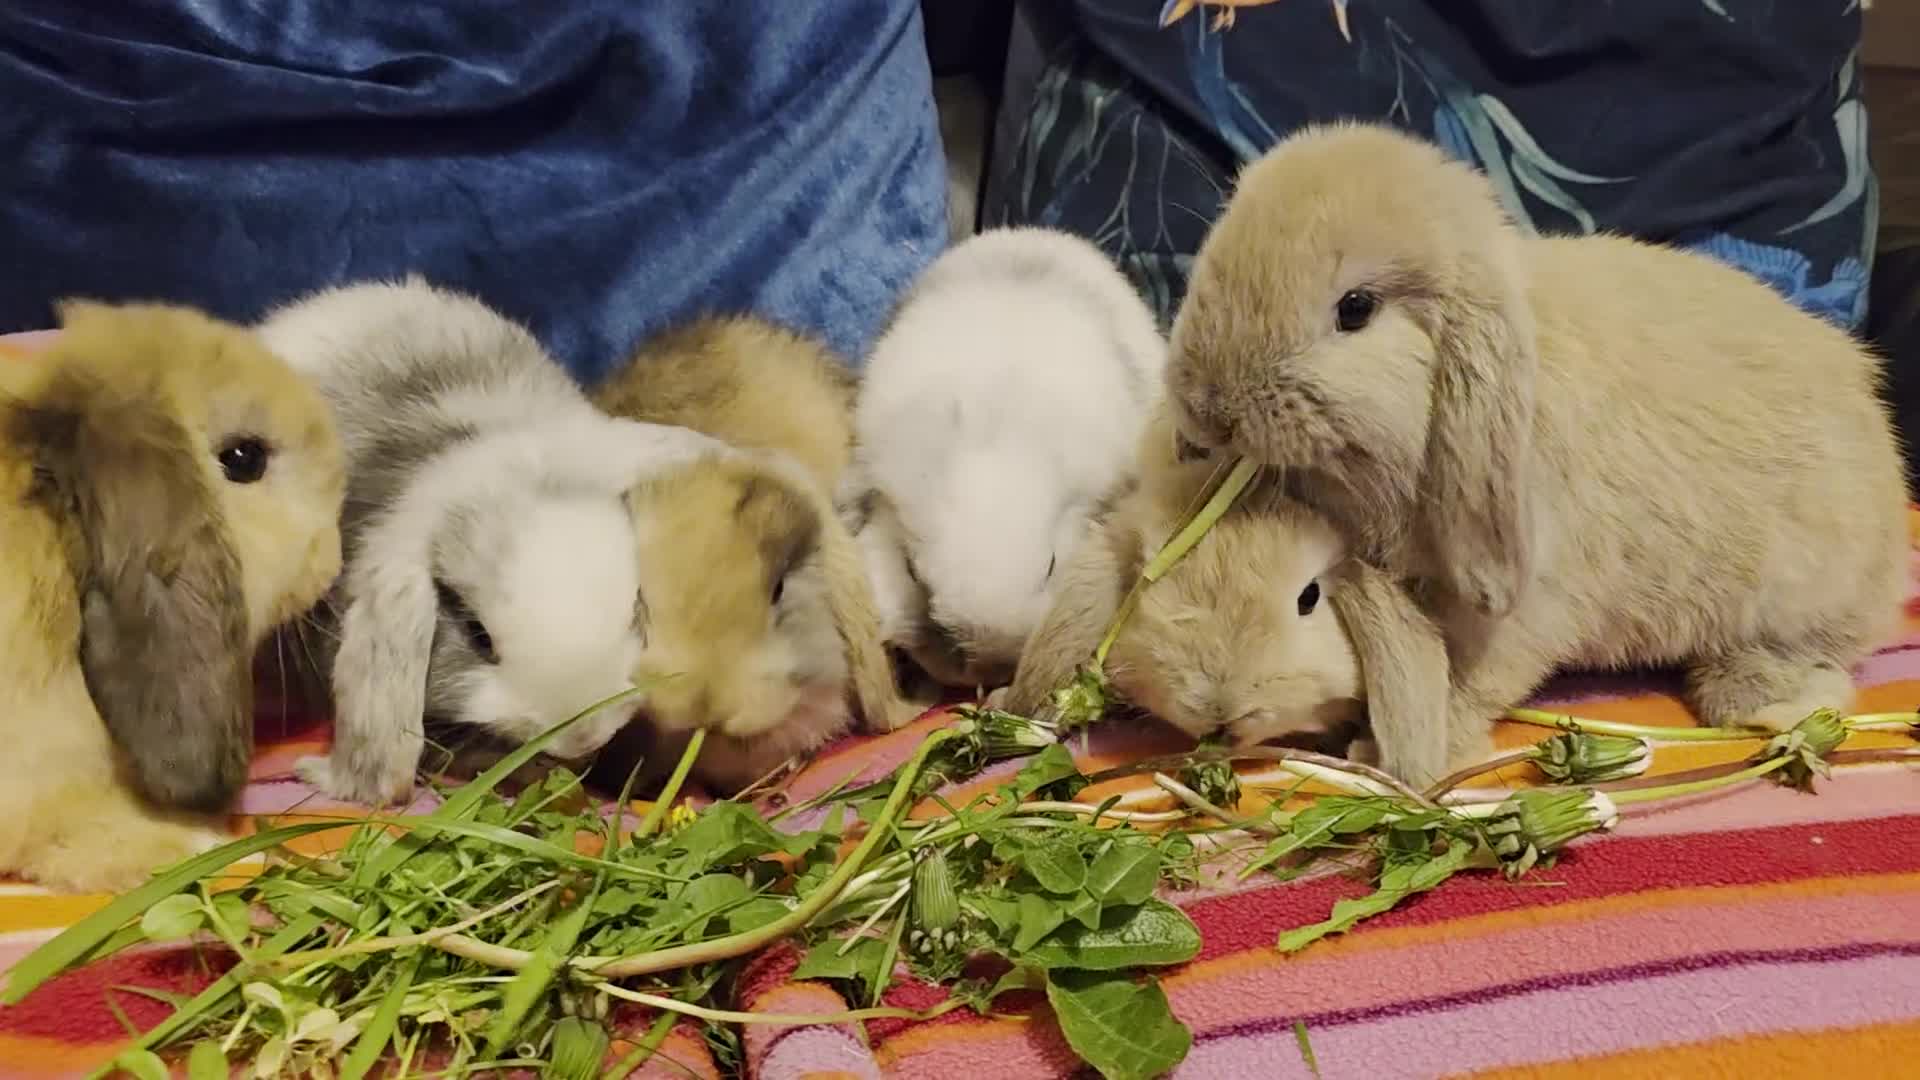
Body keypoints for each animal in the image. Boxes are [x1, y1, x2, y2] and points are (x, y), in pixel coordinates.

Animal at [1163, 121, 1909, 737]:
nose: (1206, 407)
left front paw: (1400, 747)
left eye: (1355, 308)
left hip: (1796, 590)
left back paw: (1757, 701)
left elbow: (1473, 677)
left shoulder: (1522, 605)